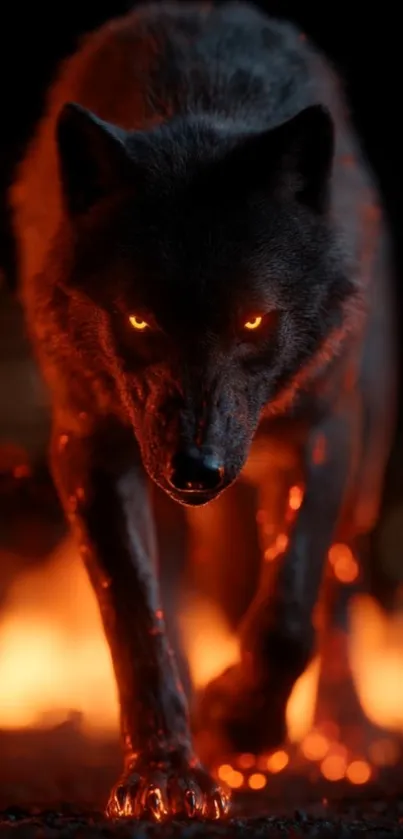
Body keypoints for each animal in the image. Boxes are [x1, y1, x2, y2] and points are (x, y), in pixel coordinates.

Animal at [9, 0, 396, 820]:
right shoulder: (90, 448)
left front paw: (243, 729)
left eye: (253, 320)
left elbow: (288, 616)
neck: (195, 100)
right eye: (138, 321)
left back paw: (344, 734)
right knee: (175, 609)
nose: (196, 468)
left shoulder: (323, 432)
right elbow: (134, 620)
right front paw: (166, 773)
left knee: (340, 599)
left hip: (368, 464)